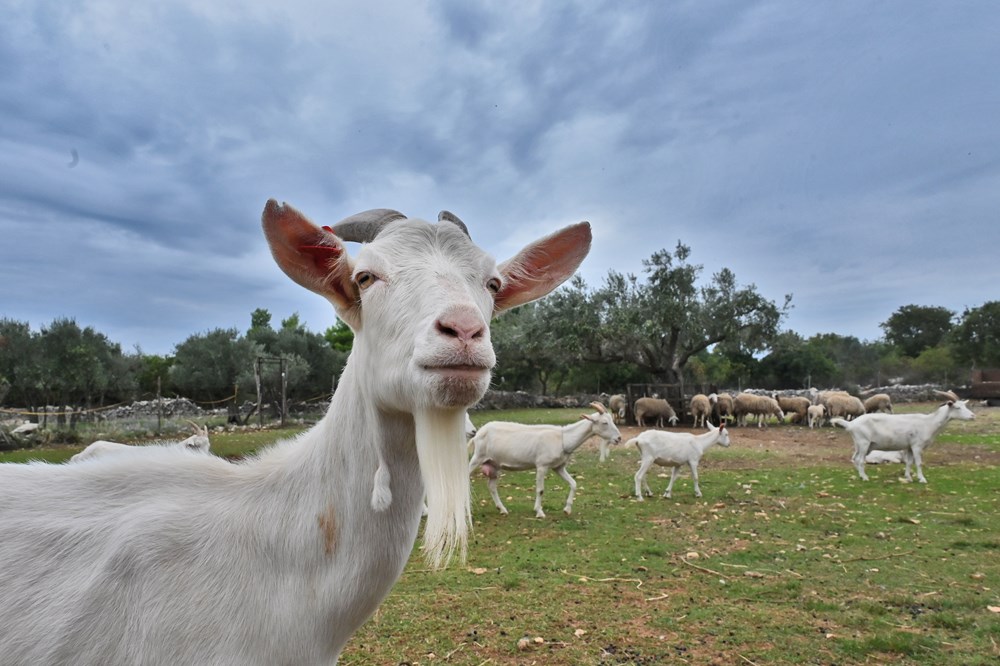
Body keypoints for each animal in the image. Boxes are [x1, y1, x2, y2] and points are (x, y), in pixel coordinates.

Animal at [466, 400, 616, 520]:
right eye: (604, 422)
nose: (618, 438)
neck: (564, 438)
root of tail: (478, 433)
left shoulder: (558, 467)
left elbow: (573, 483)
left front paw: (567, 510)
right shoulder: (542, 465)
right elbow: (540, 489)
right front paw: (539, 512)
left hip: (494, 464)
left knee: (491, 486)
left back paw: (502, 509)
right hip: (478, 456)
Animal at [828, 396, 976, 480]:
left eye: (965, 405)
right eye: (957, 407)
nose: (973, 416)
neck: (929, 423)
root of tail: (851, 424)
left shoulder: (909, 446)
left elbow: (909, 462)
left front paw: (908, 477)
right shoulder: (917, 445)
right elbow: (918, 462)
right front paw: (922, 479)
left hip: (861, 444)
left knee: (854, 458)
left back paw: (860, 475)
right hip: (863, 442)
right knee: (859, 459)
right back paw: (865, 478)